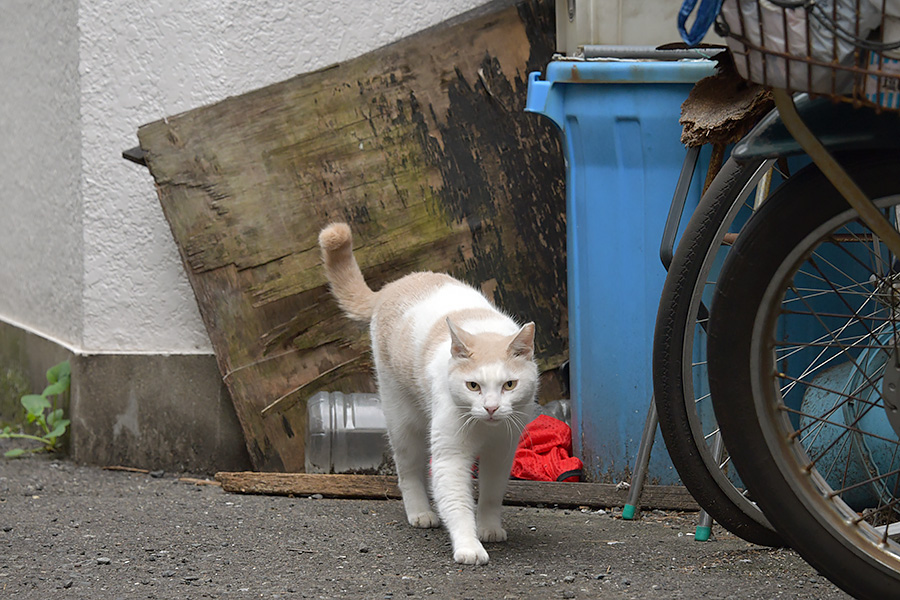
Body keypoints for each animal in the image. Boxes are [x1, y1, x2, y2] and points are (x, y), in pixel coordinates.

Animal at [320, 223, 536, 564]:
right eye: (473, 386)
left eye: (509, 385)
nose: (490, 408)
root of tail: (389, 288)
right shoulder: (450, 456)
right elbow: (457, 503)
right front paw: (469, 546)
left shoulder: (501, 451)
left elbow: (490, 495)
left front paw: (489, 528)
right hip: (404, 422)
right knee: (409, 470)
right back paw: (420, 513)